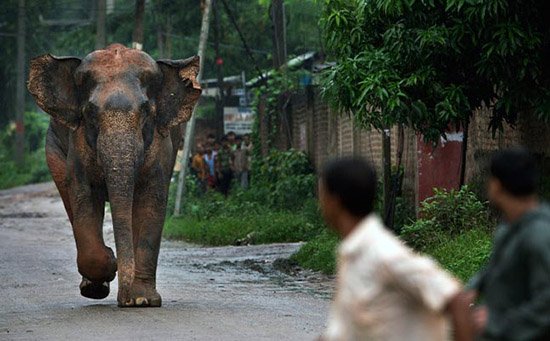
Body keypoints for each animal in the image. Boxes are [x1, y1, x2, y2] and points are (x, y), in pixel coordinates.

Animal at [26, 43, 203, 306]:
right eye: (90, 113)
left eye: (146, 112)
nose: (125, 300)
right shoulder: (78, 142)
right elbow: (84, 198)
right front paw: (110, 265)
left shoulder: (161, 146)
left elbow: (151, 202)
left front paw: (143, 300)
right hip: (54, 148)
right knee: (70, 201)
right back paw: (94, 287)